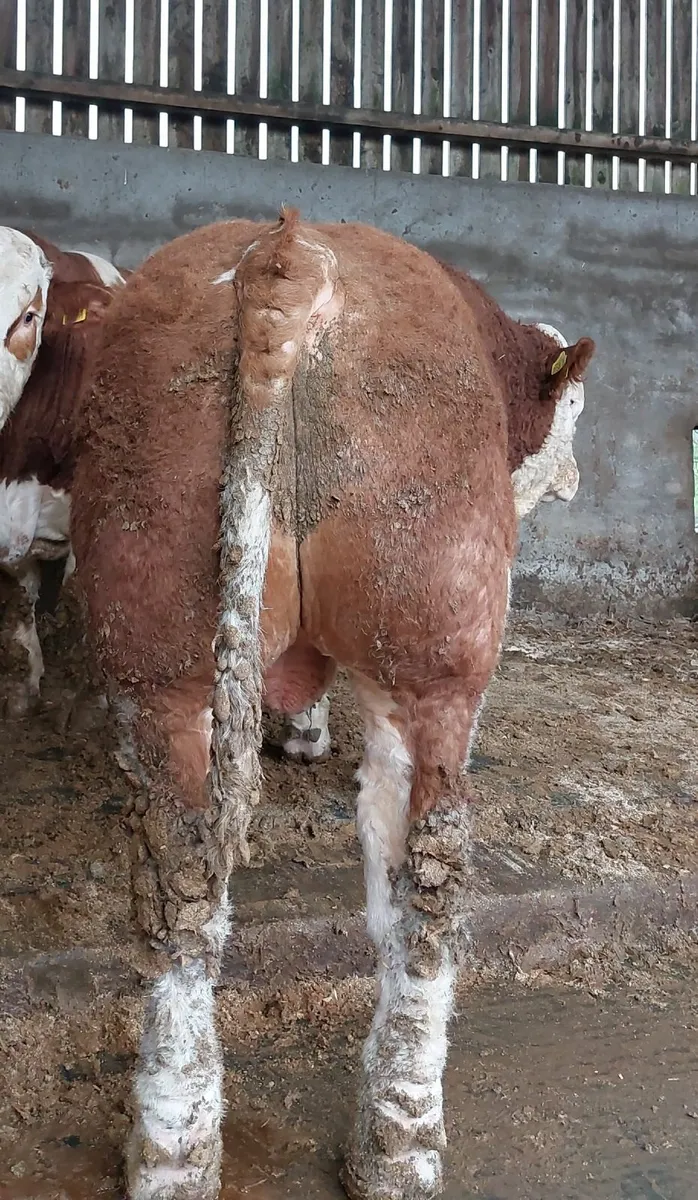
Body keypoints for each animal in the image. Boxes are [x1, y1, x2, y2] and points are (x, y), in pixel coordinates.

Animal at [70, 210, 594, 1200]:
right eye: (576, 409)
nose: (579, 481)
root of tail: (291, 257)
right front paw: (305, 735)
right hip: (430, 645)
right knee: (403, 885)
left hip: (186, 650)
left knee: (205, 892)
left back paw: (214, 1148)